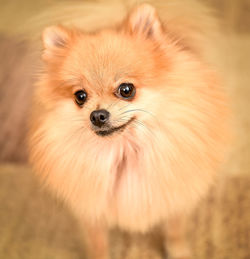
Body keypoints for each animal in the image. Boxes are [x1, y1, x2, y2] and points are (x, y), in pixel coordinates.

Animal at [27, 1, 230, 258]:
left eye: (126, 89)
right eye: (80, 96)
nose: (97, 115)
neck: (123, 152)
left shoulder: (176, 195)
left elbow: (175, 231)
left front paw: (179, 252)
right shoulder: (91, 208)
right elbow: (98, 244)